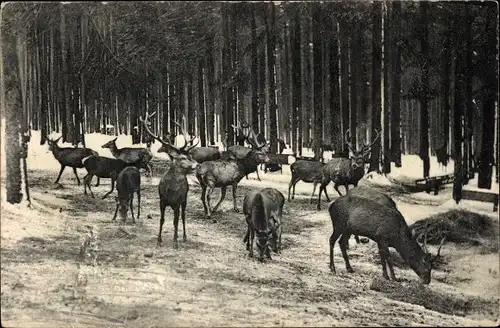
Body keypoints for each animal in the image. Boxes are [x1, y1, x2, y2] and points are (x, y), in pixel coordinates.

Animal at [139, 111, 199, 247]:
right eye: (182, 158)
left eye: (190, 156)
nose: (197, 164)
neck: (171, 191)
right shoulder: (162, 201)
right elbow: (162, 220)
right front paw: (159, 240)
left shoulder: (177, 202)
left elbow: (175, 221)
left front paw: (175, 241)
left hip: (184, 199)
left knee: (182, 217)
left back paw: (183, 237)